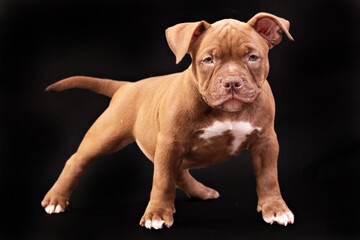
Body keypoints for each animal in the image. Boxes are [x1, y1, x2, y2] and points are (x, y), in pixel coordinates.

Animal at [42, 12, 296, 229]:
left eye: (253, 57)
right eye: (208, 60)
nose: (232, 82)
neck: (225, 112)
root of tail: (127, 86)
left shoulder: (265, 142)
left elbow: (268, 177)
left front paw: (275, 209)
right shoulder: (170, 142)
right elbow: (162, 180)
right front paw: (156, 214)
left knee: (179, 172)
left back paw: (200, 191)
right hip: (106, 135)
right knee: (77, 161)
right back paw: (56, 199)